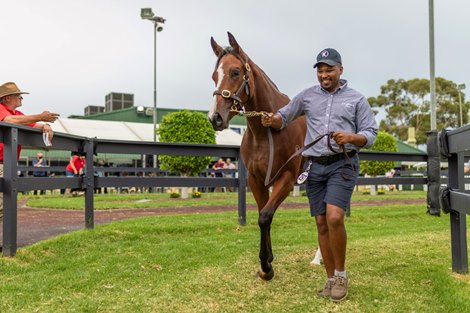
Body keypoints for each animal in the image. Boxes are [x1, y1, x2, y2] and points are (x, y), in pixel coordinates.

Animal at [209, 32, 308, 280]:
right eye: (214, 76)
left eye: (235, 72)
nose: (215, 117)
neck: (268, 130)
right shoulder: (256, 180)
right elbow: (264, 215)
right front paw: (268, 260)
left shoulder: (286, 178)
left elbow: (265, 217)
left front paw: (266, 267)